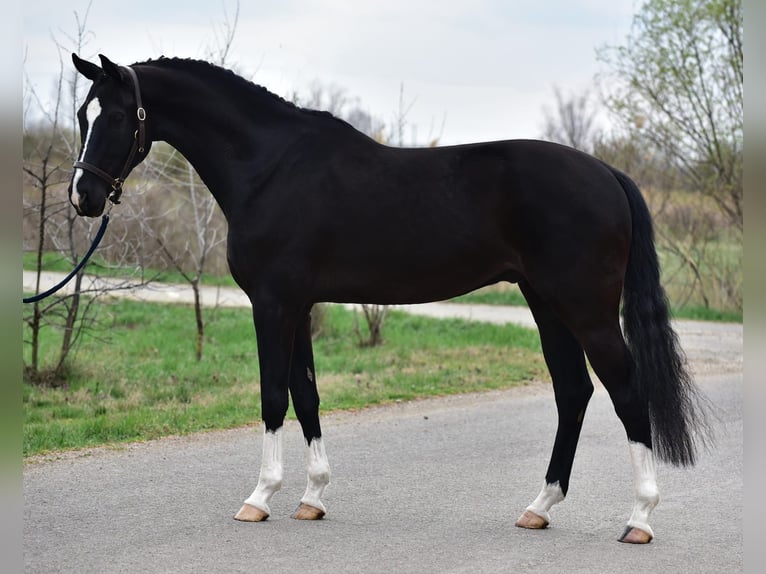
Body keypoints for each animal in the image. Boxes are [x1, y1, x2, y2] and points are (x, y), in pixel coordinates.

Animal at [68, 53, 708, 544]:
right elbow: (306, 394)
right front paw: (312, 497)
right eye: (81, 114)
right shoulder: (298, 306)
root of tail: (608, 174)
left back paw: (639, 518)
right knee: (572, 390)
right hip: (545, 302)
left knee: (625, 391)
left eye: (118, 115)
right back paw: (539, 508)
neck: (271, 167)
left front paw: (260, 497)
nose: (83, 197)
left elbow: (273, 395)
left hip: (586, 308)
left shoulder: (273, 304)